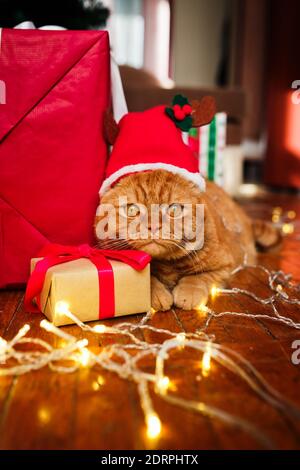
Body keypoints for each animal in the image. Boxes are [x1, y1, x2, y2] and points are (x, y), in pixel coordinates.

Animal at [95, 170, 280, 312]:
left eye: (174, 209)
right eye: (132, 209)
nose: (153, 226)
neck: (167, 265)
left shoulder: (226, 266)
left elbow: (197, 278)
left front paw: (188, 293)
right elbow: (149, 279)